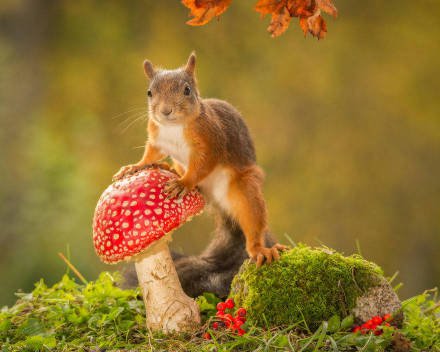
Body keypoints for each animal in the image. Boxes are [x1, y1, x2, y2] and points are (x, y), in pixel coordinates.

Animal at [113, 53, 286, 266]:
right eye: (149, 93)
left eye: (187, 90)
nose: (165, 111)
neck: (174, 127)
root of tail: (215, 201)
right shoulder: (157, 139)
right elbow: (151, 154)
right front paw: (135, 166)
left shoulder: (212, 141)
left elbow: (203, 164)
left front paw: (184, 182)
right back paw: (167, 168)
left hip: (244, 188)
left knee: (252, 217)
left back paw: (260, 249)